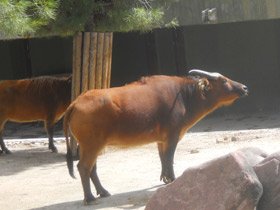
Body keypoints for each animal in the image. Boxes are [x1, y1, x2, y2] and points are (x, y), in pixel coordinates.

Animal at [63, 69, 247, 204]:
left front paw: (165, 178)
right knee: (83, 167)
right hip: (92, 145)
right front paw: (172, 178)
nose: (244, 88)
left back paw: (103, 192)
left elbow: (162, 158)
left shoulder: (161, 140)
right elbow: (169, 157)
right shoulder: (173, 135)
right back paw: (90, 198)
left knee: (92, 168)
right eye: (223, 80)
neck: (184, 96)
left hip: (92, 145)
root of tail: (76, 102)